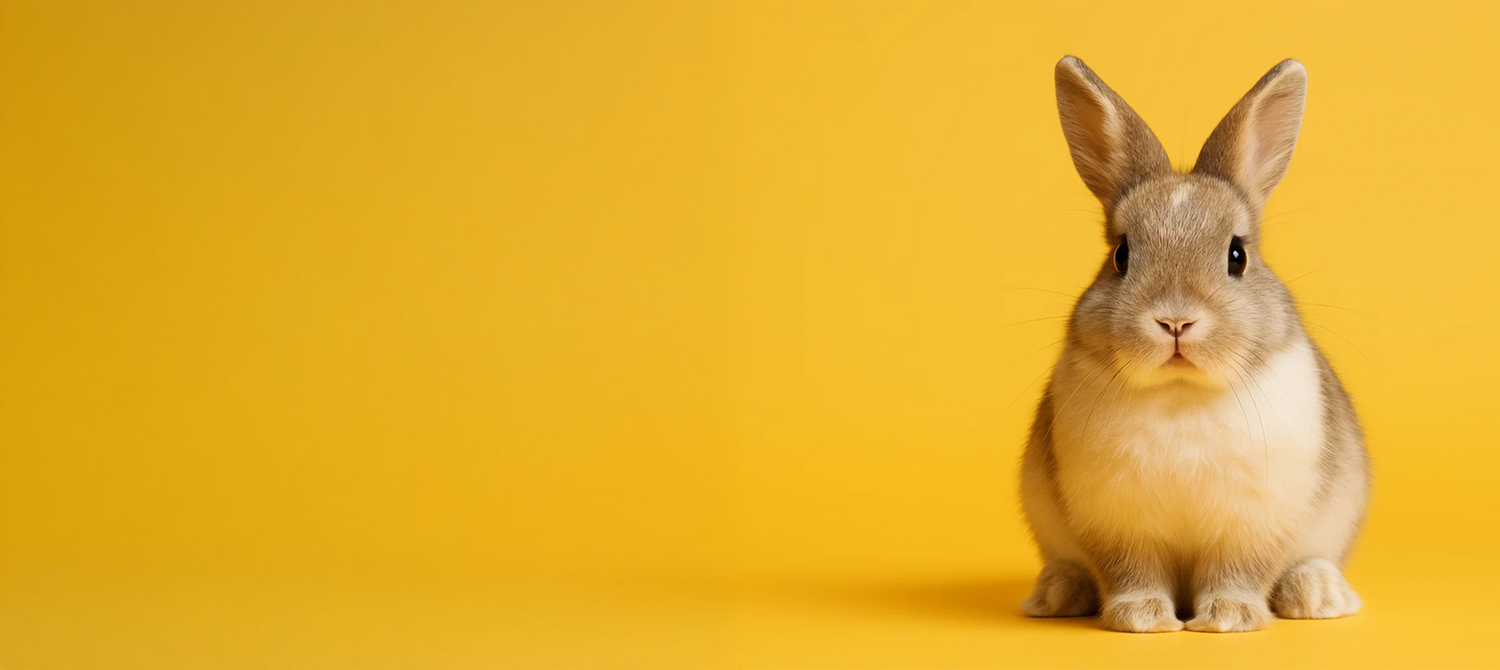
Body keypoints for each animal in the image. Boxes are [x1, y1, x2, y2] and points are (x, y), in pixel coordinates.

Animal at [1019, 56, 1371, 633]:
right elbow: (1132, 572)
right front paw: (1142, 619)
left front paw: (1228, 618)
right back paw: (1057, 593)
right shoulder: (1118, 525)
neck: (1180, 393)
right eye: (1121, 255)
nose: (1176, 321)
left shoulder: (1251, 524)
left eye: (1236, 256)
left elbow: (1237, 572)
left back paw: (1317, 595)